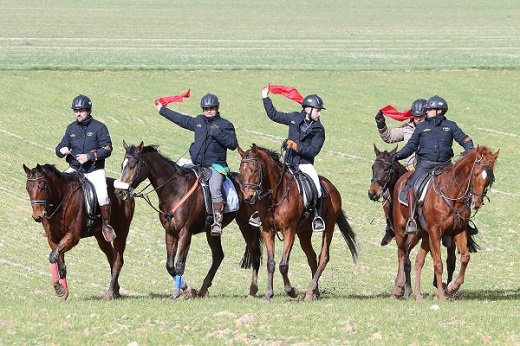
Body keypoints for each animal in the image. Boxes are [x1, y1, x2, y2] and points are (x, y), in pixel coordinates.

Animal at [23, 163, 135, 300]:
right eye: (27, 188)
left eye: (42, 186)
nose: (37, 216)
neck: (61, 199)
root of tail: (125, 192)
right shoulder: (53, 239)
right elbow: (59, 263)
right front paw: (63, 292)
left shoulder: (73, 237)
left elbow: (53, 257)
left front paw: (59, 289)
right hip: (100, 236)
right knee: (111, 257)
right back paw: (115, 290)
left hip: (122, 231)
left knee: (118, 260)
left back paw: (110, 293)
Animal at [112, 142, 262, 298]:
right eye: (122, 165)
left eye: (133, 165)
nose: (119, 192)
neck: (176, 189)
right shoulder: (170, 232)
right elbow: (170, 266)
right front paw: (187, 289)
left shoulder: (185, 233)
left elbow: (179, 265)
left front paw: (176, 293)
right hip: (212, 232)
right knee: (218, 255)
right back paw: (203, 289)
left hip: (246, 225)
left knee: (255, 255)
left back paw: (253, 290)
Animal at [239, 143, 358, 300]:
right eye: (241, 170)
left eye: (254, 170)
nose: (248, 197)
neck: (276, 195)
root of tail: (332, 187)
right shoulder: (267, 231)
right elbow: (271, 263)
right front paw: (268, 295)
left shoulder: (289, 231)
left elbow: (283, 265)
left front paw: (291, 291)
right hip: (304, 233)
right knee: (312, 257)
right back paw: (314, 292)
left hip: (329, 227)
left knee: (323, 257)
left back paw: (310, 290)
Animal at [392, 146, 498, 300]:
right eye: (475, 173)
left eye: (490, 179)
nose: (476, 203)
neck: (451, 193)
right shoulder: (435, 232)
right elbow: (438, 264)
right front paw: (441, 295)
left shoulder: (458, 231)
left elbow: (465, 257)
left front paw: (453, 287)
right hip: (402, 230)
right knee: (401, 252)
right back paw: (398, 288)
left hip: (424, 235)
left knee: (418, 260)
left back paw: (417, 295)